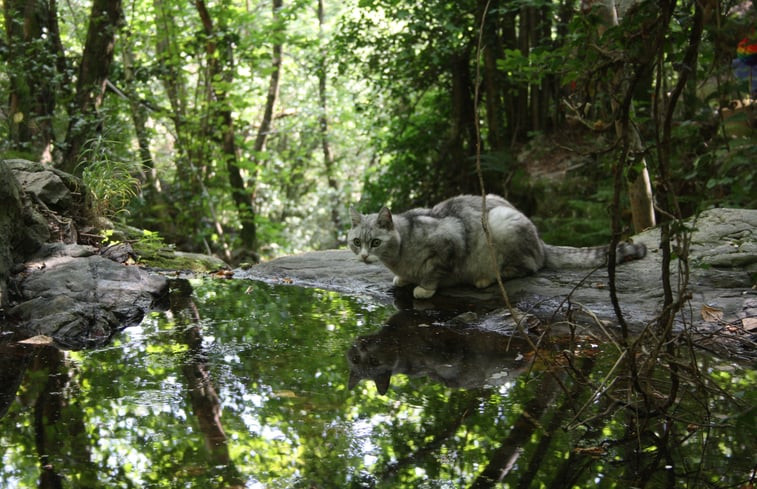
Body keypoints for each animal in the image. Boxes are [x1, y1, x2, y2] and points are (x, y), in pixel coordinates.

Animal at [348, 193, 644, 300]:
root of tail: (541, 241)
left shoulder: (449, 242)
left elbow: (434, 271)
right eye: (356, 242)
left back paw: (487, 278)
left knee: (528, 267)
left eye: (375, 242)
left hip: (501, 225)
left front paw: (423, 288)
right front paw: (403, 279)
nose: (363, 256)